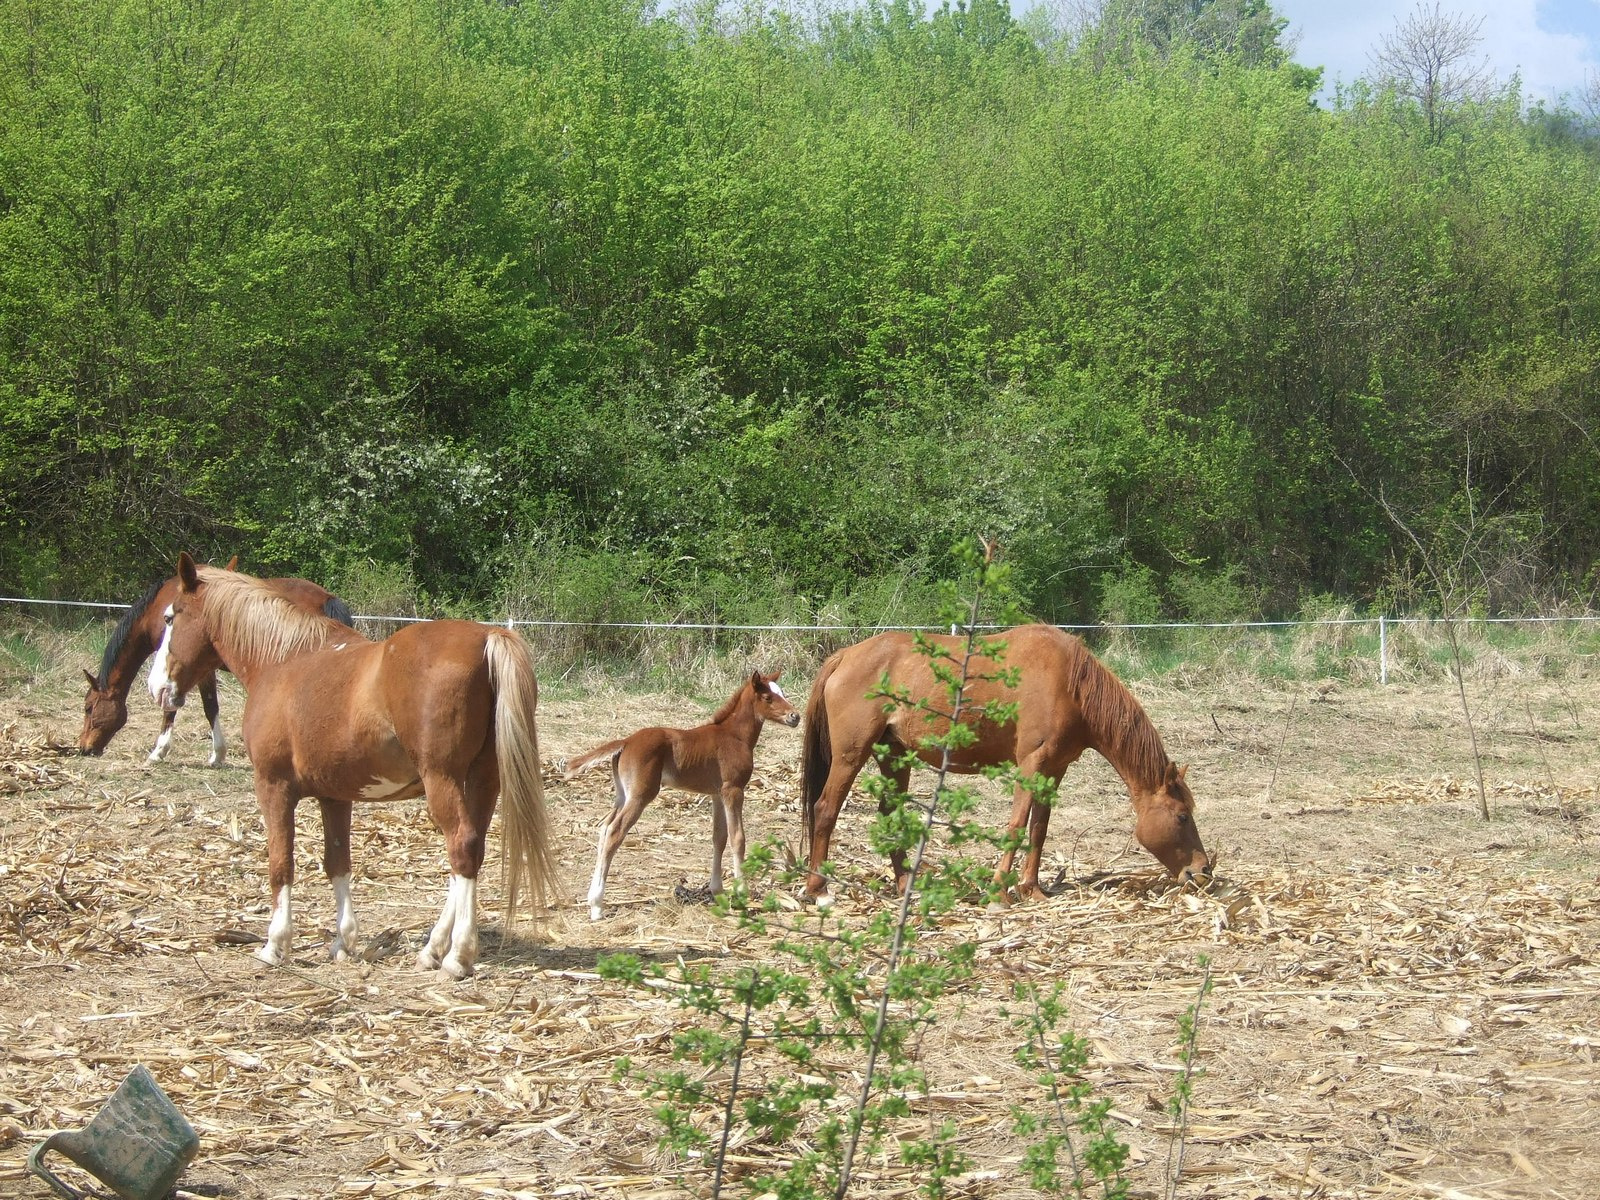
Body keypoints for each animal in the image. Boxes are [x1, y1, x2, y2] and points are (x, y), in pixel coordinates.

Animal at [78, 560, 353, 764]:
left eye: (89, 708)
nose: (84, 748)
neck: (155, 611)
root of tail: (327, 597)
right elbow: (209, 706)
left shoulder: (192, 669)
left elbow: (194, 708)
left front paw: (161, 752)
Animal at [147, 553, 556, 979]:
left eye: (170, 617)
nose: (157, 687)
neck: (283, 660)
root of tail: (487, 637)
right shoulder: (335, 796)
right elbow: (337, 863)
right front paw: (343, 942)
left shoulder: (273, 786)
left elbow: (280, 863)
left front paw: (275, 945)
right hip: (483, 781)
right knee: (471, 852)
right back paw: (432, 949)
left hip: (442, 781)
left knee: (461, 848)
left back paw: (457, 956)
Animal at [569, 678, 806, 921]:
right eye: (767, 697)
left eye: (782, 693)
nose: (795, 716)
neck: (734, 736)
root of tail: (625, 742)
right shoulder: (733, 790)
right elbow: (737, 838)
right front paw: (741, 893)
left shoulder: (717, 794)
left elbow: (719, 838)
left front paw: (717, 891)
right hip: (640, 796)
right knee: (614, 832)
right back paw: (597, 906)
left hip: (622, 795)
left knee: (604, 828)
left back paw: (593, 900)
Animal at [800, 630, 1209, 902]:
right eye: (1182, 816)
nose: (1203, 870)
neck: (1070, 685)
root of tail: (844, 656)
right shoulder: (1031, 765)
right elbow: (1016, 825)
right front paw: (999, 892)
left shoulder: (1053, 771)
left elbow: (1039, 830)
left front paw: (1032, 889)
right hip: (851, 756)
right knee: (825, 809)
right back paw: (817, 888)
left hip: (894, 756)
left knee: (890, 814)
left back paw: (904, 885)